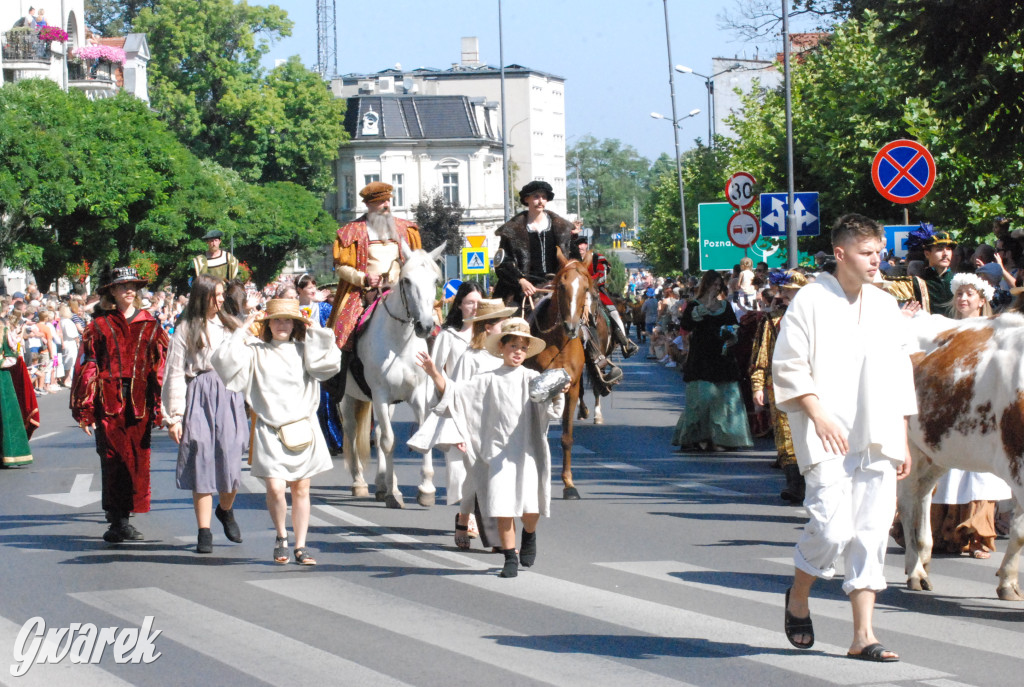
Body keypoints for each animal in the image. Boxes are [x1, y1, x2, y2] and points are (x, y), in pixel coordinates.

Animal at [339, 244, 444, 507]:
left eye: (435, 280)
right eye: (406, 280)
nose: (425, 326)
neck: (399, 343)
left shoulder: (417, 394)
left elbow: (419, 435)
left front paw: (426, 489)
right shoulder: (380, 395)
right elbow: (388, 441)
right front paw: (393, 494)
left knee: (376, 433)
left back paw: (382, 483)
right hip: (347, 398)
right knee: (353, 431)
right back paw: (360, 483)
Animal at [524, 247, 589, 499]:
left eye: (586, 288)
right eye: (561, 286)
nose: (571, 327)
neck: (559, 341)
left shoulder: (572, 389)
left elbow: (566, 437)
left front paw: (569, 484)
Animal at [897, 313, 1024, 602]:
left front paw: (1008, 580)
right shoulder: (1018, 463)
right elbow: (1021, 531)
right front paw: (1008, 584)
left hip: (935, 449)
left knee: (923, 494)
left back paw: (923, 556)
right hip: (908, 448)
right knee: (907, 501)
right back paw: (915, 570)